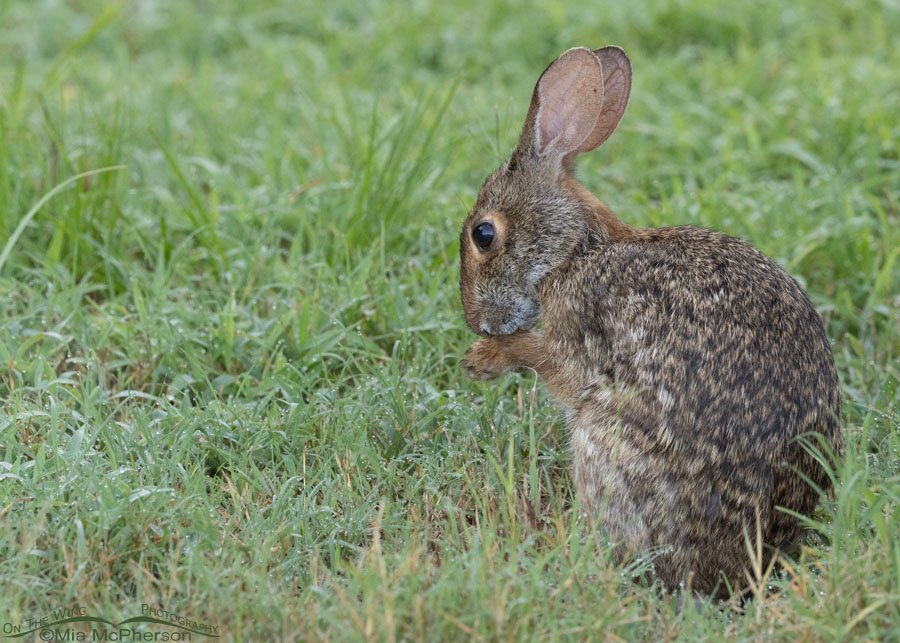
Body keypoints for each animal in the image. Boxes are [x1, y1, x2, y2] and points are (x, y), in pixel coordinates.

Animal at [459, 46, 842, 597]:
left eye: (484, 234)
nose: (476, 322)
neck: (576, 252)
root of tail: (746, 562)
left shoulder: (580, 332)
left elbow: (550, 362)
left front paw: (484, 359)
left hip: (604, 442)